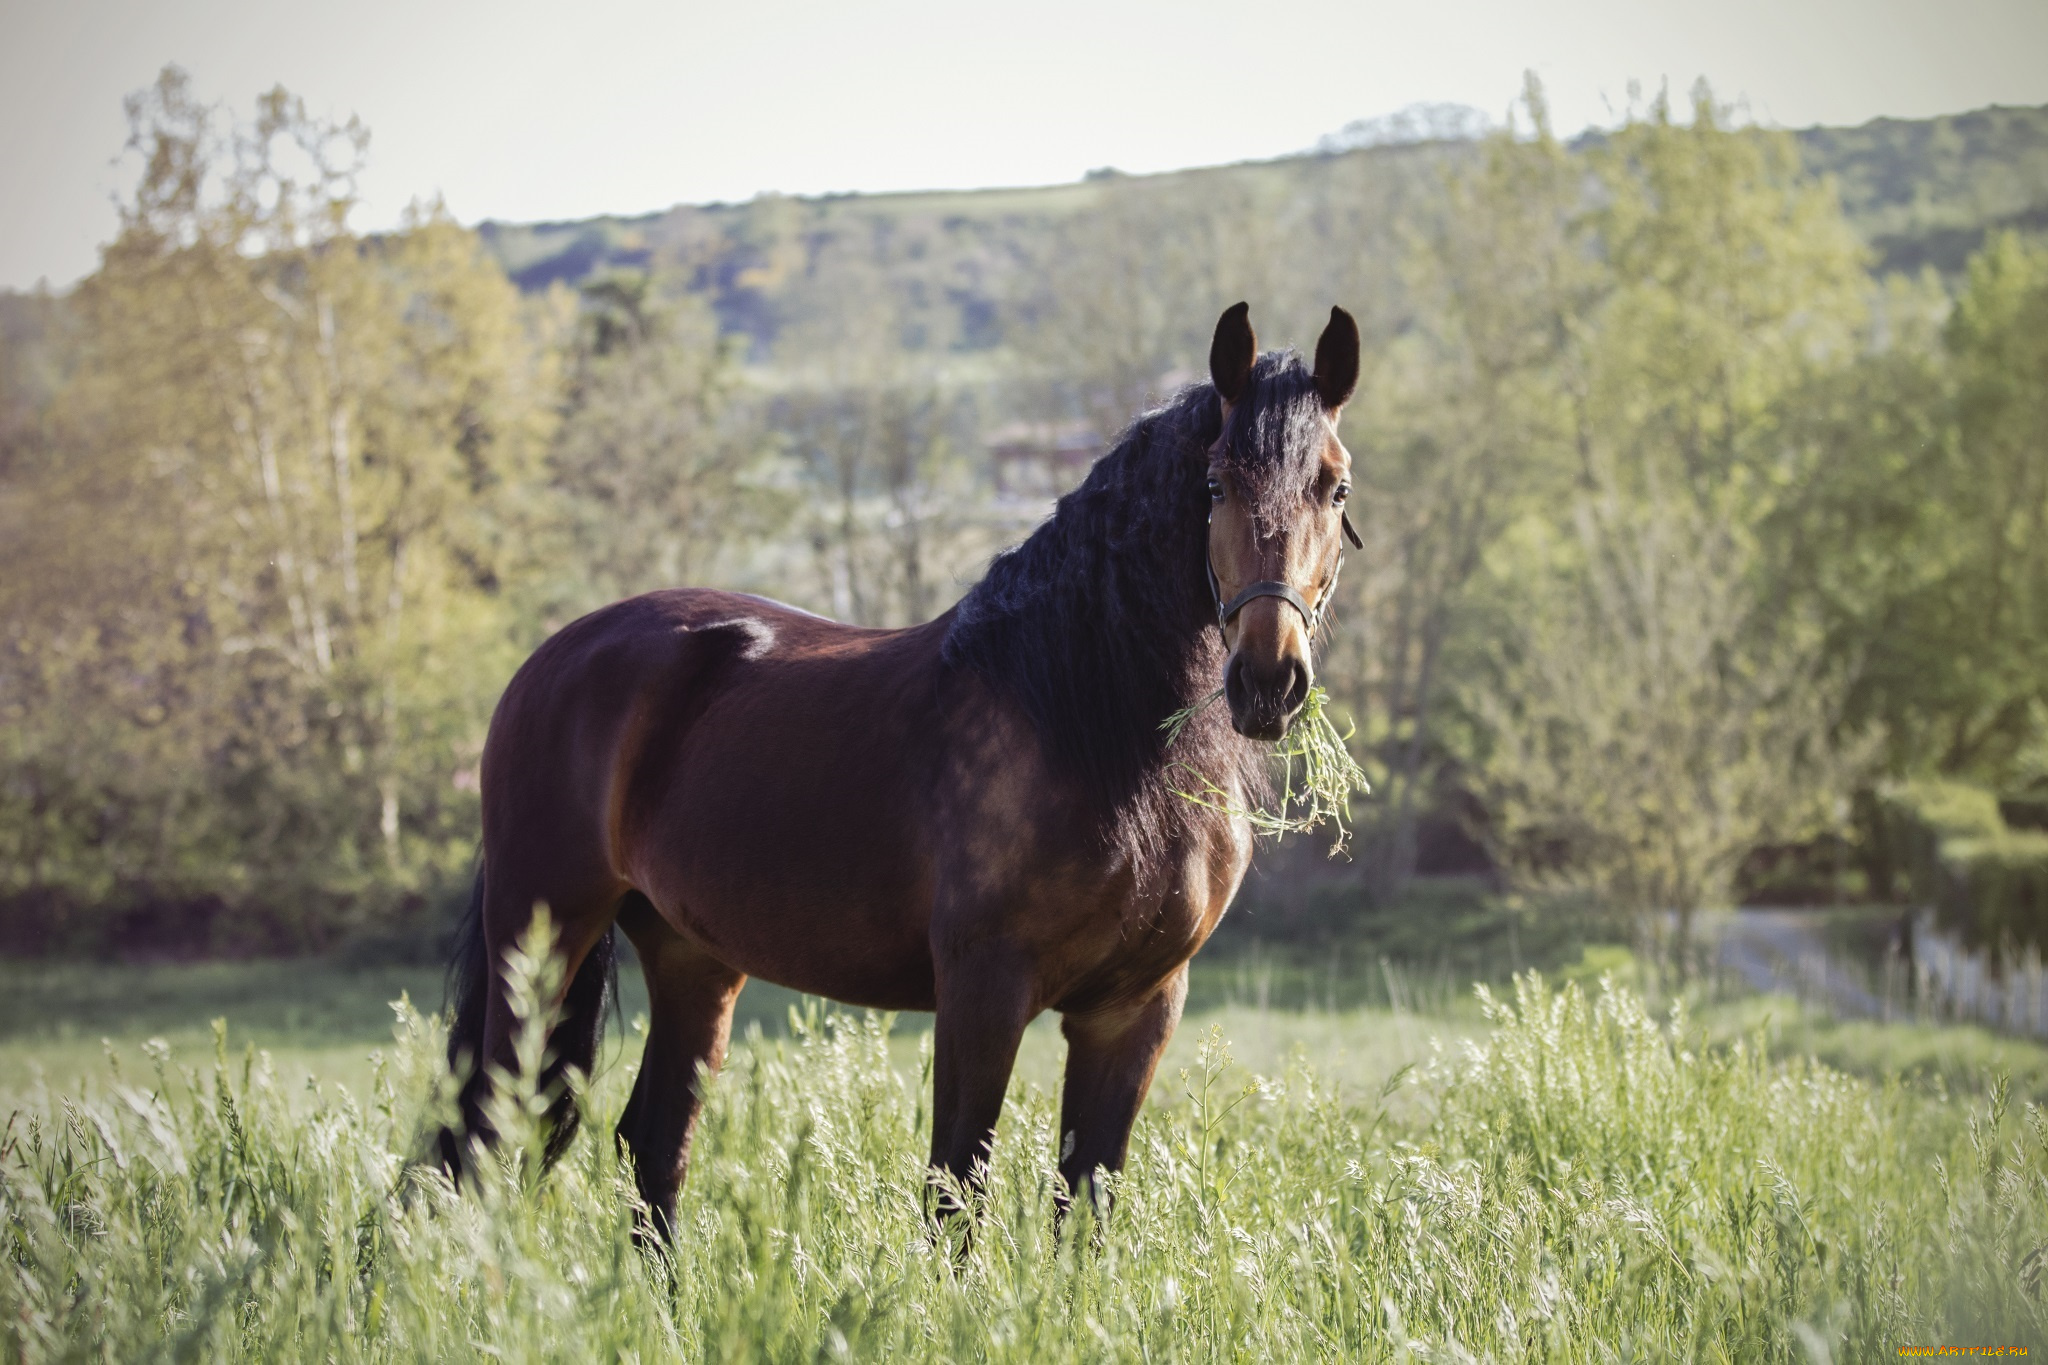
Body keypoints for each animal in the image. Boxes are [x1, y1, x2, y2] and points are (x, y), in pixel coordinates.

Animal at [434, 304, 1359, 1236]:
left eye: (1335, 488)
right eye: (1216, 484)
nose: (1269, 679)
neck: (1081, 721)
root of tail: (550, 659)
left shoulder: (1134, 1007)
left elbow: (1085, 1201)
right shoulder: (982, 992)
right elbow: (956, 1194)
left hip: (692, 958)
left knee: (653, 1149)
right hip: (539, 939)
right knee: (481, 1134)